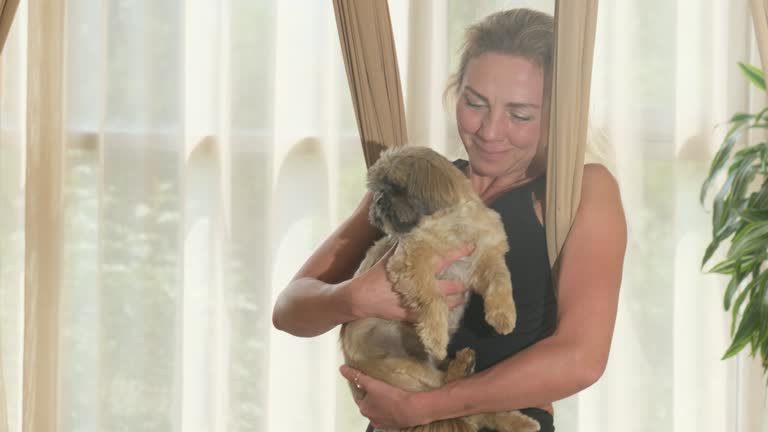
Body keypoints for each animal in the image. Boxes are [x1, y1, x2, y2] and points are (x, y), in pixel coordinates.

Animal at [340, 146, 536, 432]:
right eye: (377, 190)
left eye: (396, 187)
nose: (378, 202)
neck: (455, 224)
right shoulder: (411, 262)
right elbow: (432, 299)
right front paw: (435, 336)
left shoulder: (487, 260)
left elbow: (501, 282)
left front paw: (504, 315)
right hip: (403, 372)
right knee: (445, 390)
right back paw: (462, 368)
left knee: (472, 408)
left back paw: (516, 419)